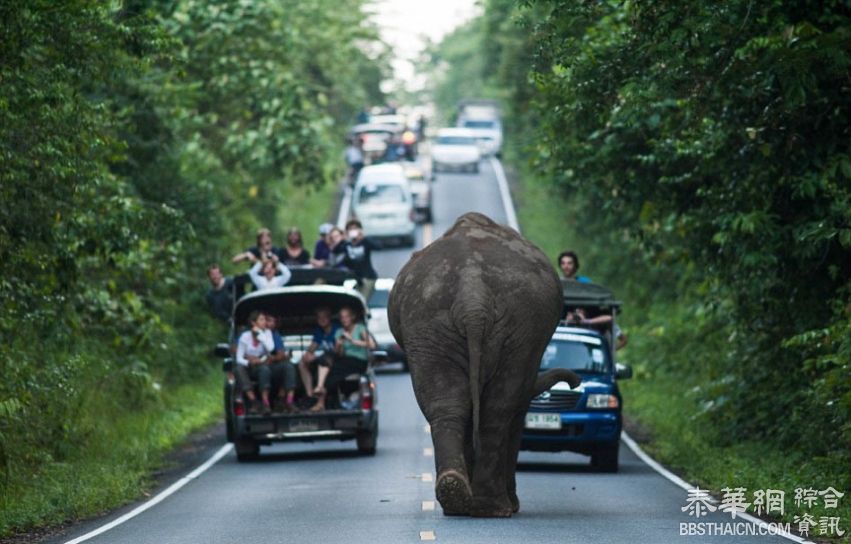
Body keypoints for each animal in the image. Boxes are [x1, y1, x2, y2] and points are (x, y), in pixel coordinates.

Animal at [390, 210, 584, 516]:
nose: (575, 381)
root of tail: (473, 299)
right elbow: (516, 407)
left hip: (428, 326)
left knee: (447, 405)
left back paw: (457, 497)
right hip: (516, 330)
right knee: (499, 409)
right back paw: (493, 507)